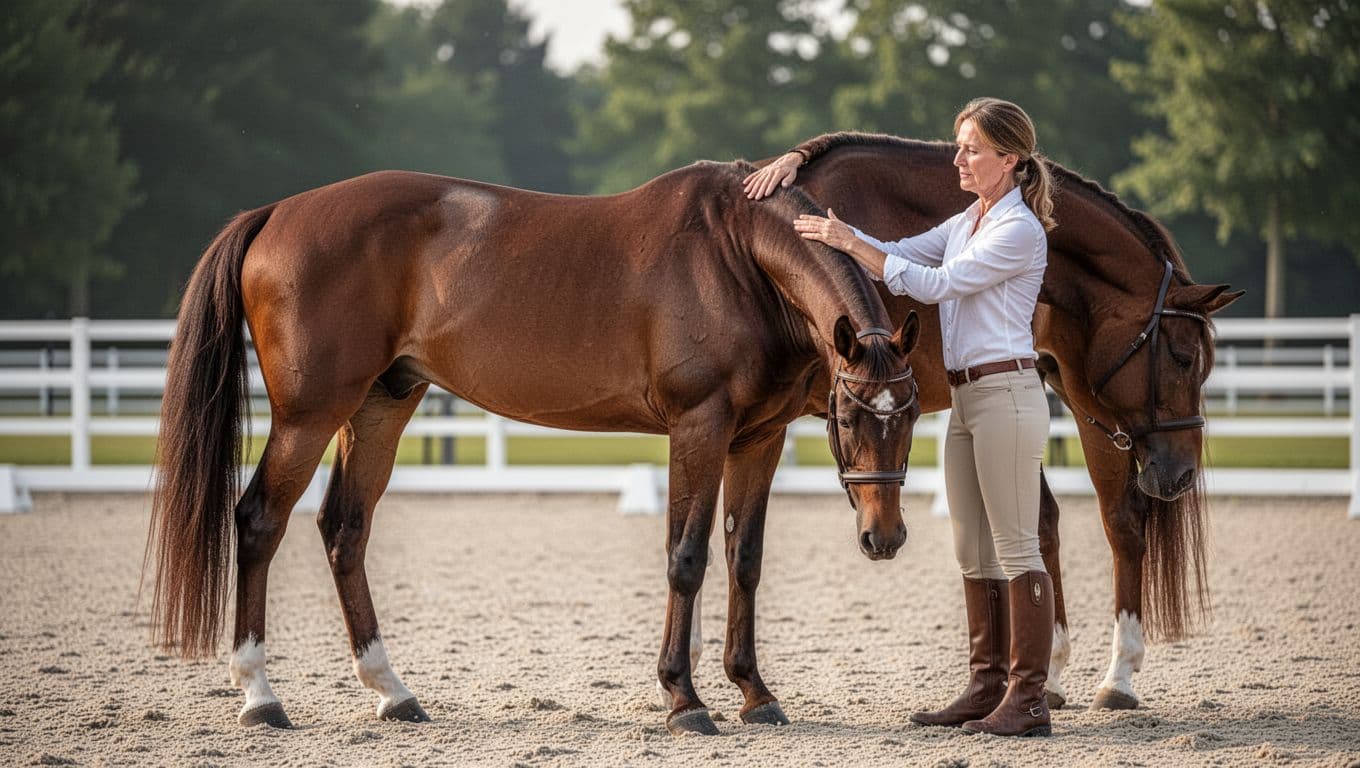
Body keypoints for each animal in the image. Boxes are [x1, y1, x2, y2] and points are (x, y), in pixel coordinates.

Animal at [144, 161, 923, 736]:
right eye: (849, 416)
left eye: (910, 414)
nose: (884, 538)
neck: (737, 255)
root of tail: (276, 212)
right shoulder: (698, 427)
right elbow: (687, 557)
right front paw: (684, 699)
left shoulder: (757, 437)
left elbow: (744, 560)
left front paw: (755, 694)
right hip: (309, 417)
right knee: (258, 523)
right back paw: (259, 695)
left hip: (380, 405)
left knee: (344, 529)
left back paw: (393, 691)